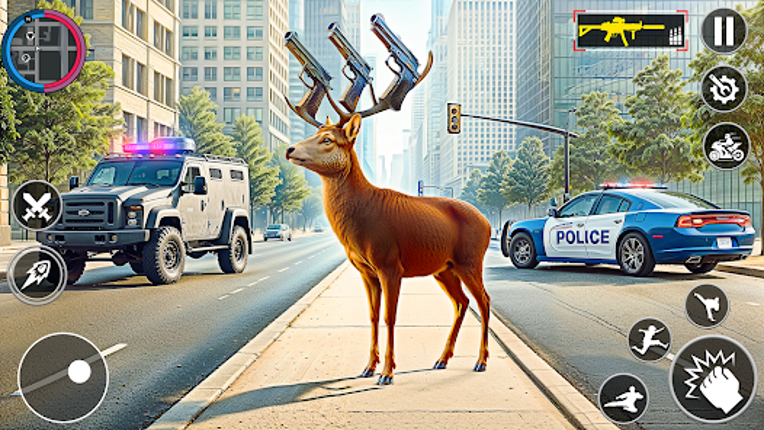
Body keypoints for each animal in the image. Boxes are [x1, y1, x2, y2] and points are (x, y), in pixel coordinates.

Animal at [284, 16, 492, 385]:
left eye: (328, 139)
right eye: (314, 134)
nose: (290, 149)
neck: (361, 220)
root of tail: (491, 223)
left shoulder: (390, 264)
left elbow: (390, 317)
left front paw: (387, 373)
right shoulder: (365, 270)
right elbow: (371, 316)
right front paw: (368, 366)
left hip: (470, 259)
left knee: (484, 300)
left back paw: (481, 361)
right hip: (444, 267)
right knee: (462, 302)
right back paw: (442, 359)